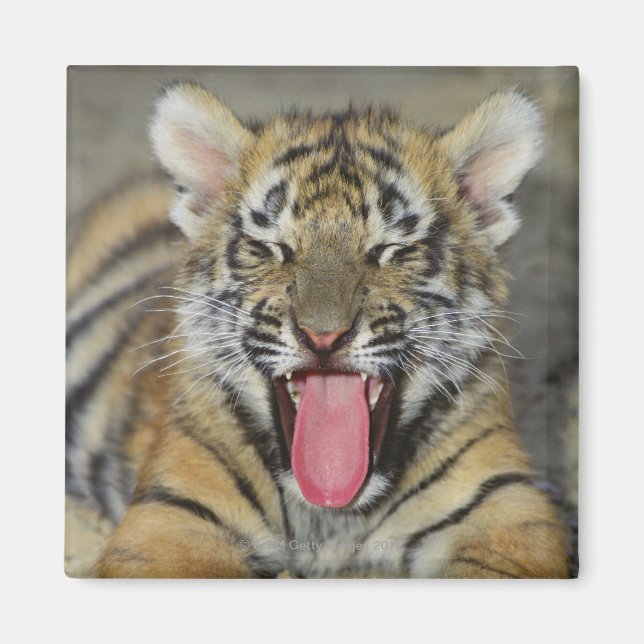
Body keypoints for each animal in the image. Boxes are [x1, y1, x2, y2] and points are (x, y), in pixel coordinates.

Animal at [65, 82, 570, 578]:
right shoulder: (174, 519)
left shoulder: (505, 510)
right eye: (271, 247)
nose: (322, 337)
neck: (330, 516)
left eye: (391, 250)